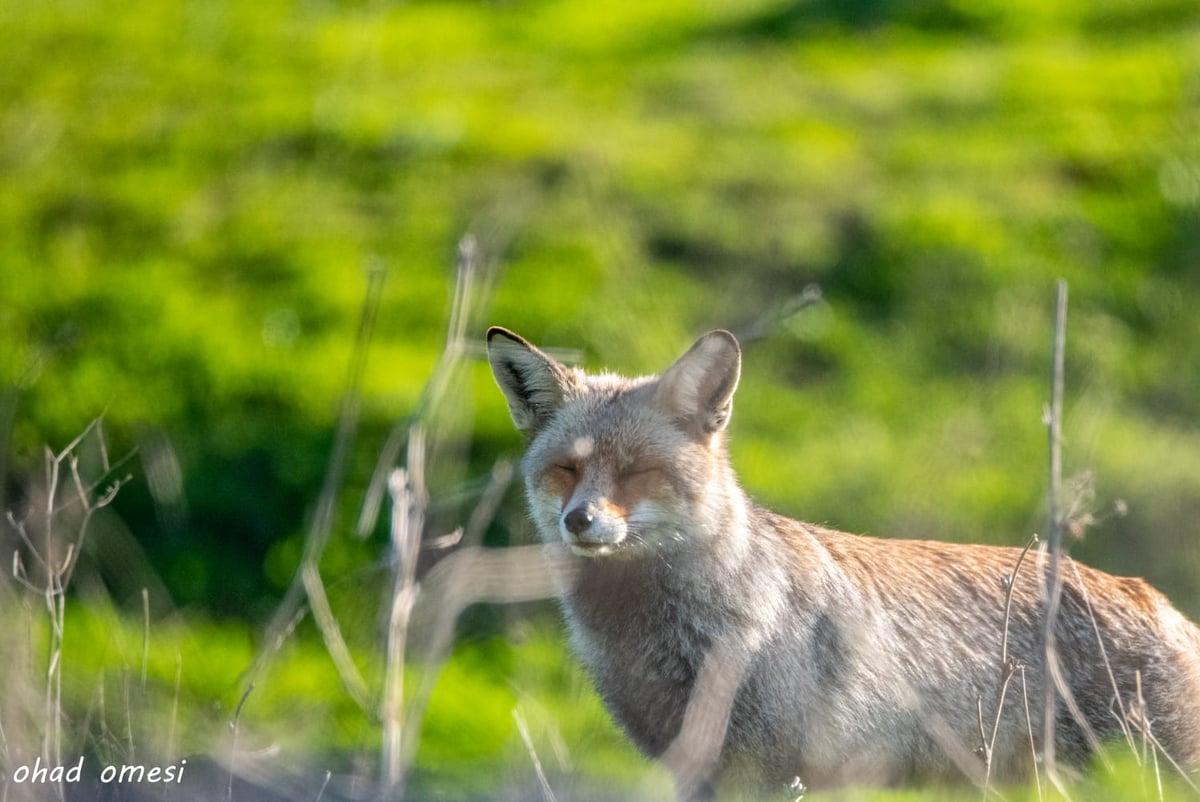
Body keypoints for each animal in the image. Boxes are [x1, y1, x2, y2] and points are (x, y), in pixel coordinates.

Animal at [484, 326, 1200, 802]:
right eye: (566, 469)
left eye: (638, 472)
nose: (579, 520)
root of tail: (1163, 604)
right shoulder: (692, 769)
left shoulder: (773, 770)